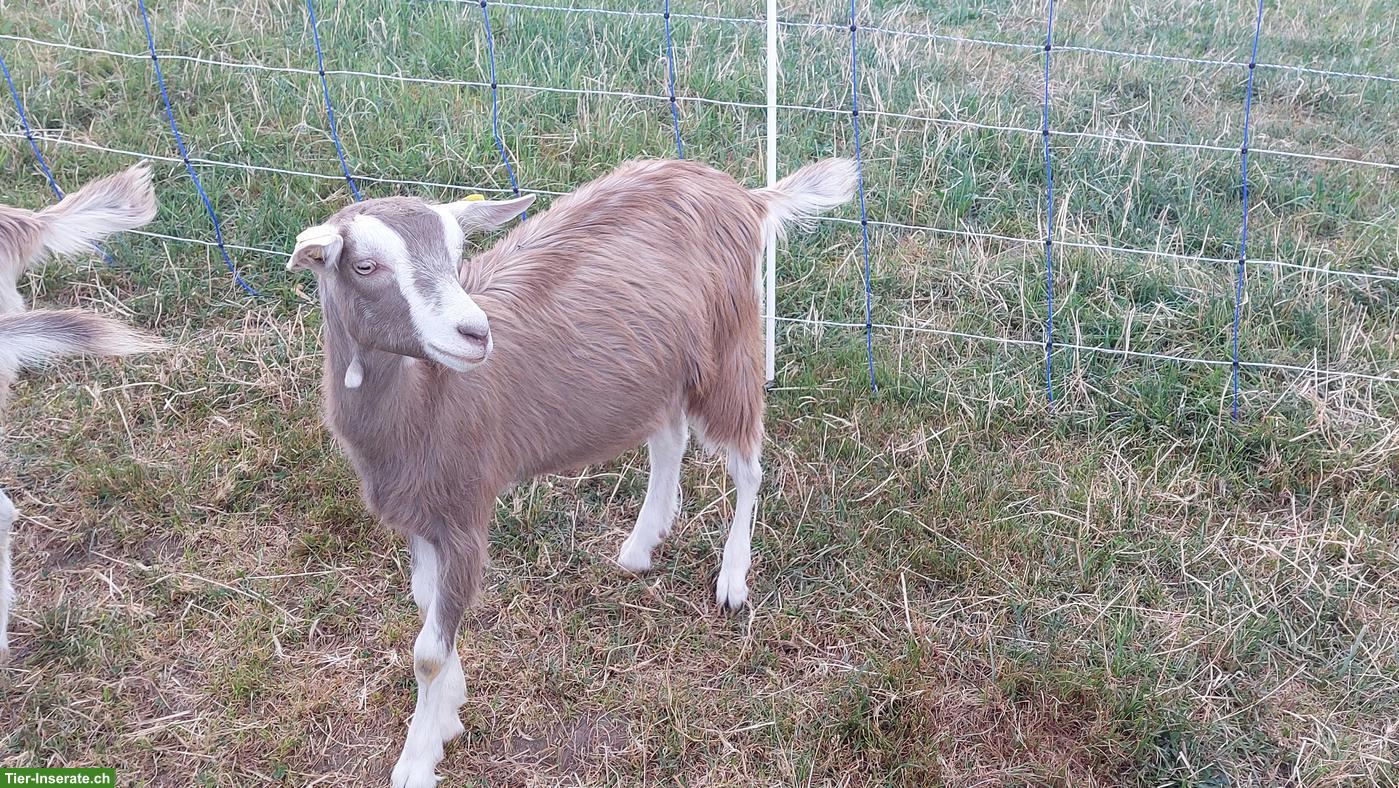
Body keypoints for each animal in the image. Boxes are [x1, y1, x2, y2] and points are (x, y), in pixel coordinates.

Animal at [287, 158, 856, 787]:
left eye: (458, 253)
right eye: (364, 265)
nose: (475, 333)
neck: (427, 397)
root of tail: (746, 195)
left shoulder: (464, 512)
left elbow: (428, 652)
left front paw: (418, 759)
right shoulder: (418, 513)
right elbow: (425, 606)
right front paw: (451, 711)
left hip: (729, 346)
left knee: (748, 463)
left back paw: (732, 579)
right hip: (656, 367)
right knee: (669, 437)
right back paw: (640, 546)